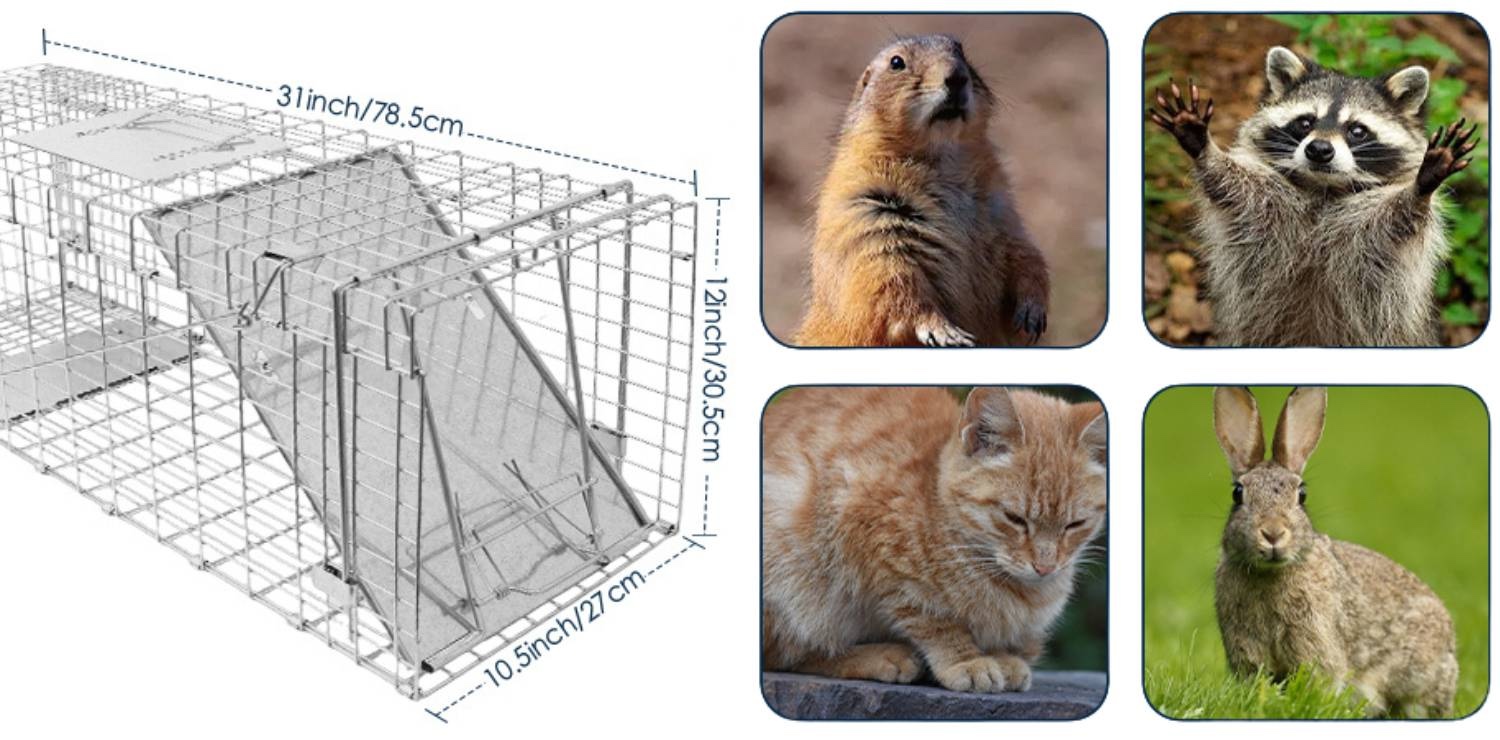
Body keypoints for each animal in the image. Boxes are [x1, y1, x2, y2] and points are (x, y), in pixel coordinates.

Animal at [793, 35, 1050, 347]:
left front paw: (1032, 313)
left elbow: (1025, 253)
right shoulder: (868, 212)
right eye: (896, 62)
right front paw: (945, 331)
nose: (957, 76)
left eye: (961, 51)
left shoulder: (1000, 208)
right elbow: (891, 279)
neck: (941, 158)